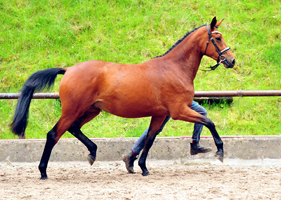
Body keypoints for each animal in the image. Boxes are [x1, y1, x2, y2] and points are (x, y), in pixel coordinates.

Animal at [10, 17, 234, 179]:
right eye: (218, 38)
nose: (231, 60)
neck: (174, 68)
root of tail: (68, 70)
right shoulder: (179, 111)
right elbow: (208, 121)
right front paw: (220, 151)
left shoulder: (160, 115)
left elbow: (150, 139)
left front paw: (142, 168)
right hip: (73, 110)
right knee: (53, 135)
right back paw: (43, 172)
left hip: (91, 110)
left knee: (74, 129)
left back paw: (92, 152)